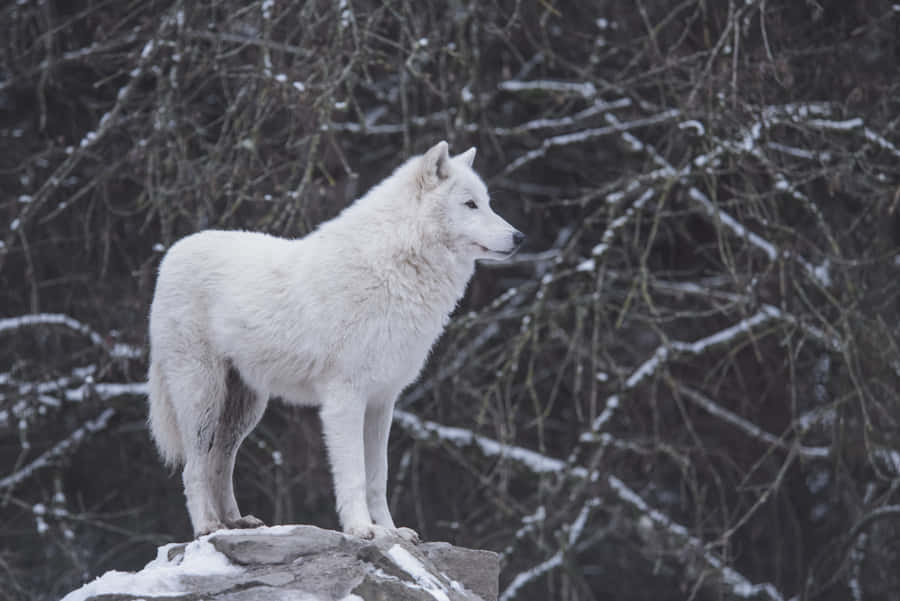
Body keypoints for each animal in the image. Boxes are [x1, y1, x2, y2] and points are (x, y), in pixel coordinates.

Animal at [147, 141, 523, 540]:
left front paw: (391, 531)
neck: (394, 268)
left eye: (488, 202)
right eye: (470, 204)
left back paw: (236, 523)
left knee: (221, 462)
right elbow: (355, 474)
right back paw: (207, 526)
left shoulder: (382, 402)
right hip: (202, 397)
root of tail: (172, 253)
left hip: (245, 408)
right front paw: (361, 529)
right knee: (194, 467)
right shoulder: (345, 399)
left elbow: (378, 477)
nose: (520, 237)